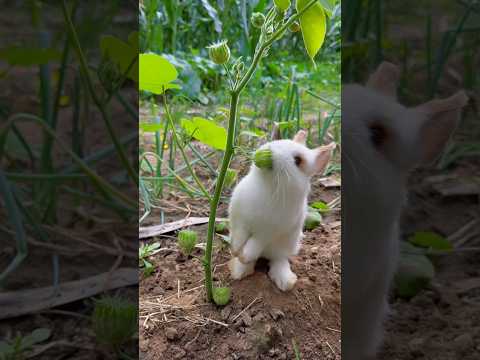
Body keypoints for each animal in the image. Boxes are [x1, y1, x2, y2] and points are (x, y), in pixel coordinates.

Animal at [228, 131, 334, 292]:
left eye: (298, 160)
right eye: (279, 141)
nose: (270, 150)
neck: (268, 187)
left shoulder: (268, 231)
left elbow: (255, 243)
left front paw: (244, 256)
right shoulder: (240, 219)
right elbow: (239, 236)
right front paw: (235, 251)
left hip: (285, 247)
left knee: (278, 259)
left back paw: (286, 281)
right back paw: (238, 271)